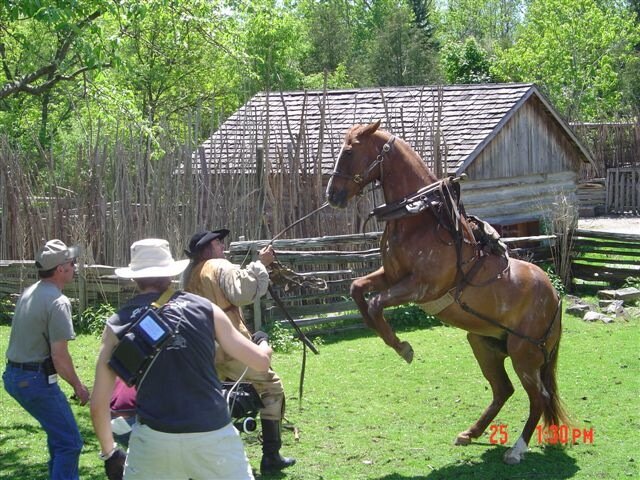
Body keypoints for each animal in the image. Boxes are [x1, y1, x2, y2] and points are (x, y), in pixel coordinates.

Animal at [328, 121, 568, 464]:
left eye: (348, 152)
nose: (332, 194)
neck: (419, 220)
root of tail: (555, 297)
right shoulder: (391, 277)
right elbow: (358, 291)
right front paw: (395, 343)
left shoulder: (420, 287)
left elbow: (374, 304)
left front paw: (402, 347)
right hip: (484, 344)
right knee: (503, 390)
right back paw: (471, 432)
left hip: (525, 354)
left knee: (538, 396)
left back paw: (517, 449)